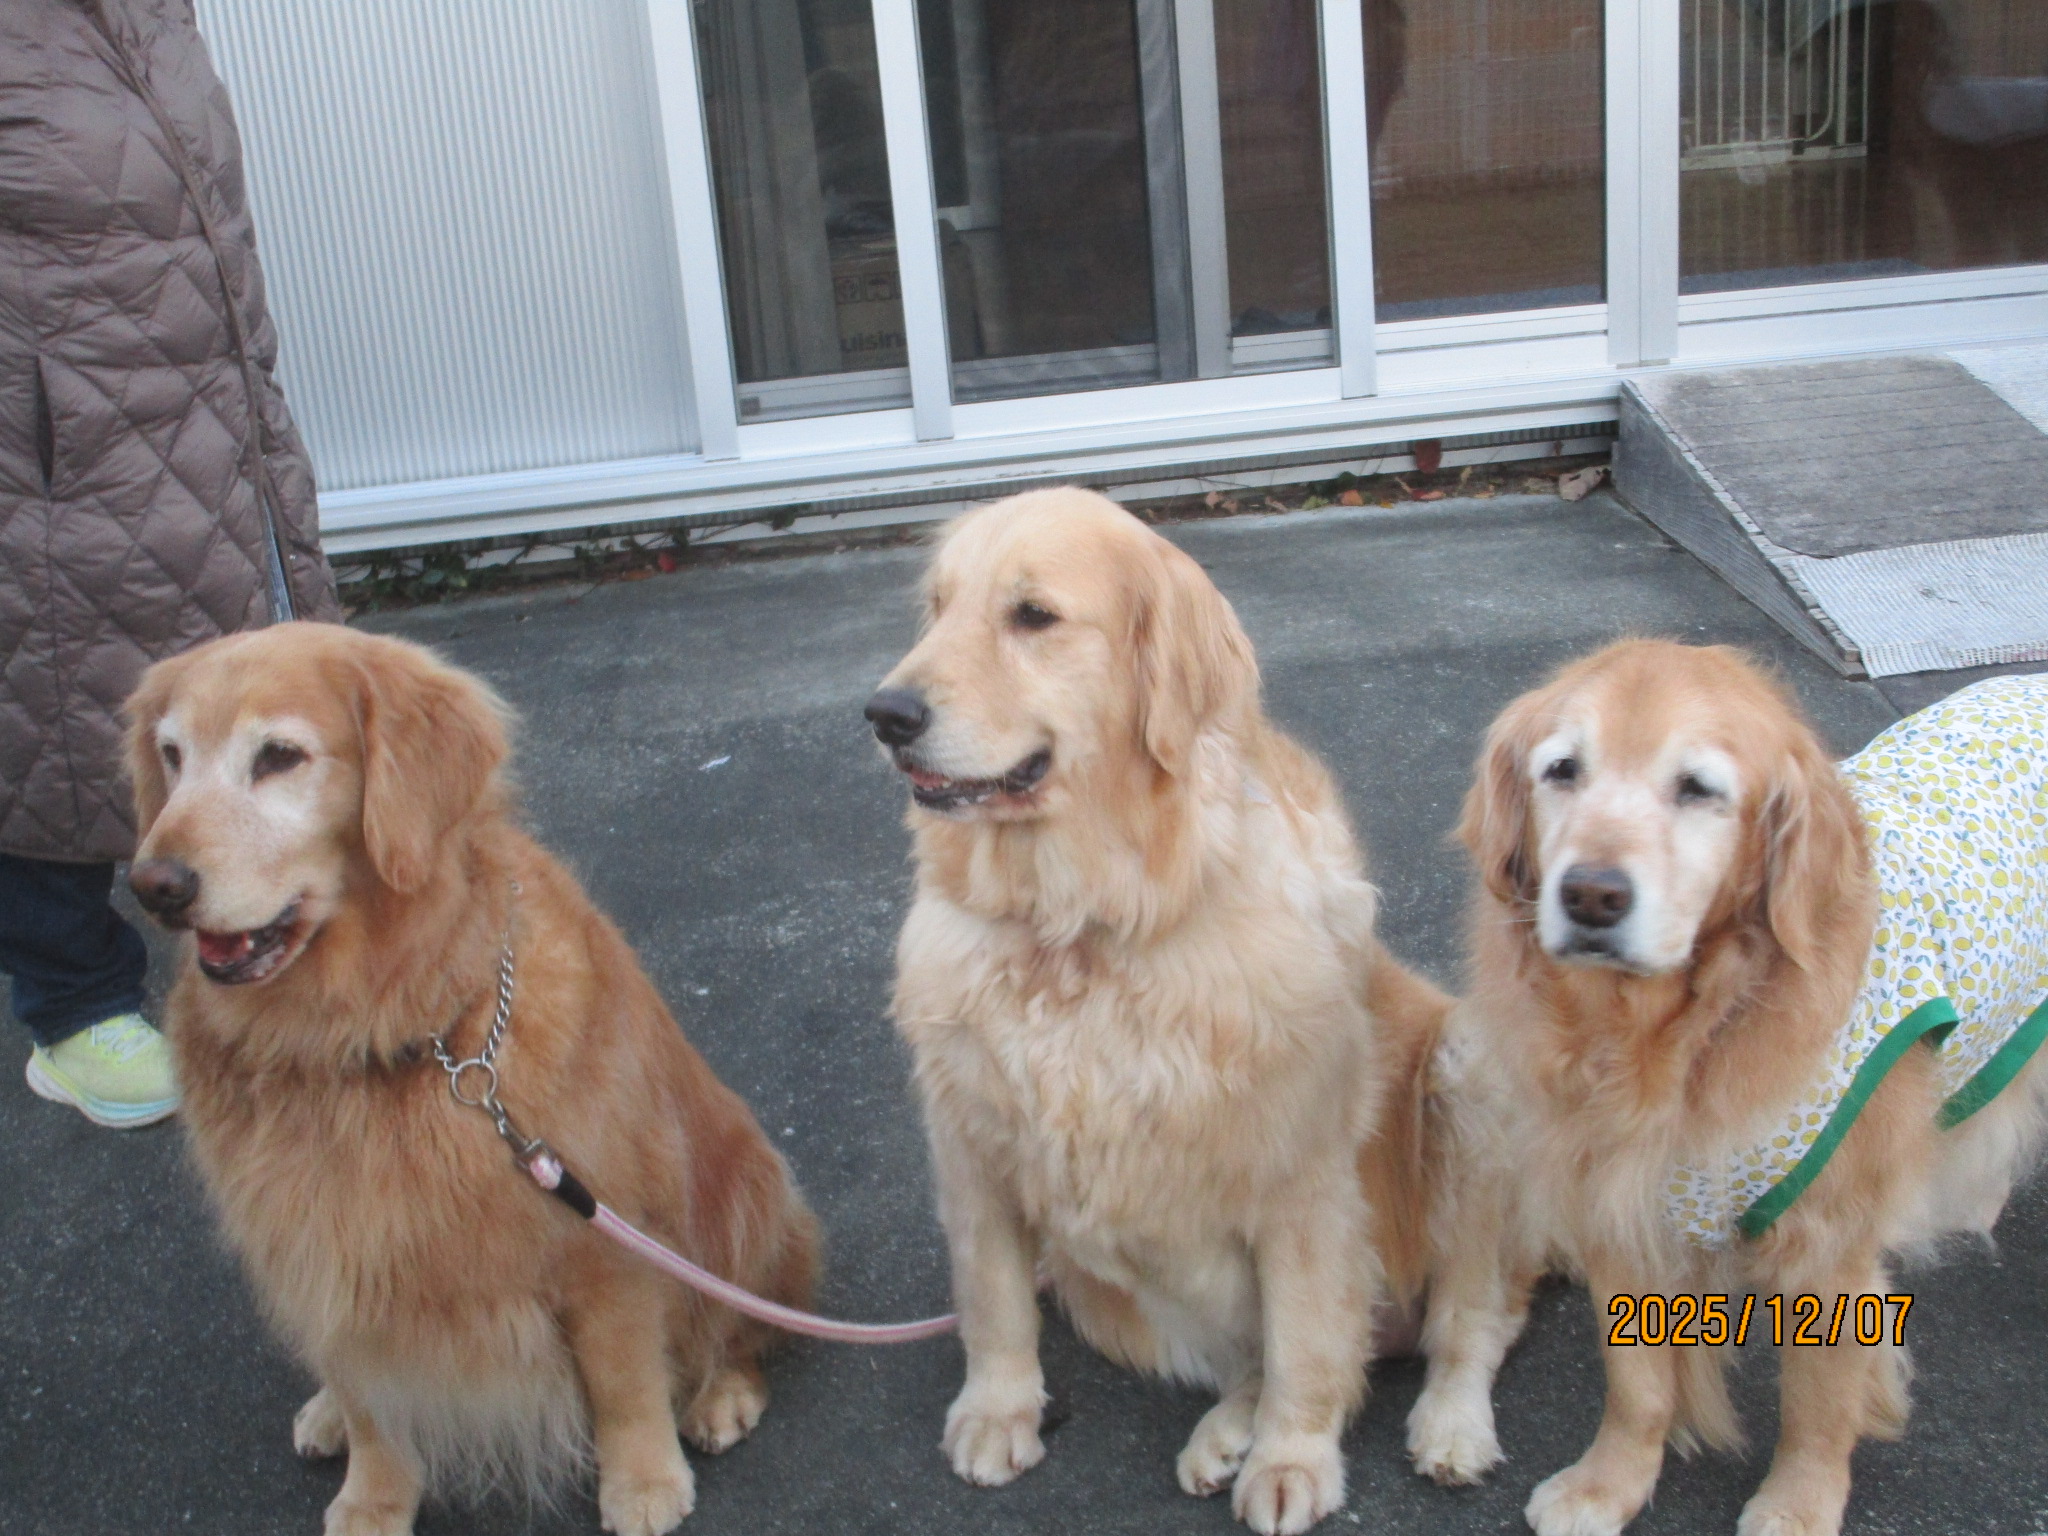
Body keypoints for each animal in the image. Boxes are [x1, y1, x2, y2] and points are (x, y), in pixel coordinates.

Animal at [123, 623, 818, 1536]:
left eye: (278, 756)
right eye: (171, 757)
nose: (154, 886)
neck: (386, 1036)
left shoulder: (602, 1239)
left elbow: (625, 1379)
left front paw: (642, 1481)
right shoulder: (325, 1255)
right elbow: (372, 1405)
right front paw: (373, 1498)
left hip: (745, 1186)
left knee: (742, 1320)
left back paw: (720, 1394)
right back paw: (324, 1414)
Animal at [865, 488, 1450, 1535]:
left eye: (1033, 616)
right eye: (936, 609)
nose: (886, 714)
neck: (1080, 931)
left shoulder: (1301, 1175)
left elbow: (1308, 1334)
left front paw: (1293, 1459)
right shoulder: (970, 1146)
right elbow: (992, 1296)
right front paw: (998, 1409)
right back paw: (1224, 1434)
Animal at [1408, 639, 2048, 1536]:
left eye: (1697, 788)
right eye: (1562, 769)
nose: (1592, 894)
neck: (1682, 1035)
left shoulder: (1827, 1239)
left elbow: (1817, 1400)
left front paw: (1798, 1504)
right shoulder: (1619, 1198)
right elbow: (1638, 1385)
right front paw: (1609, 1483)